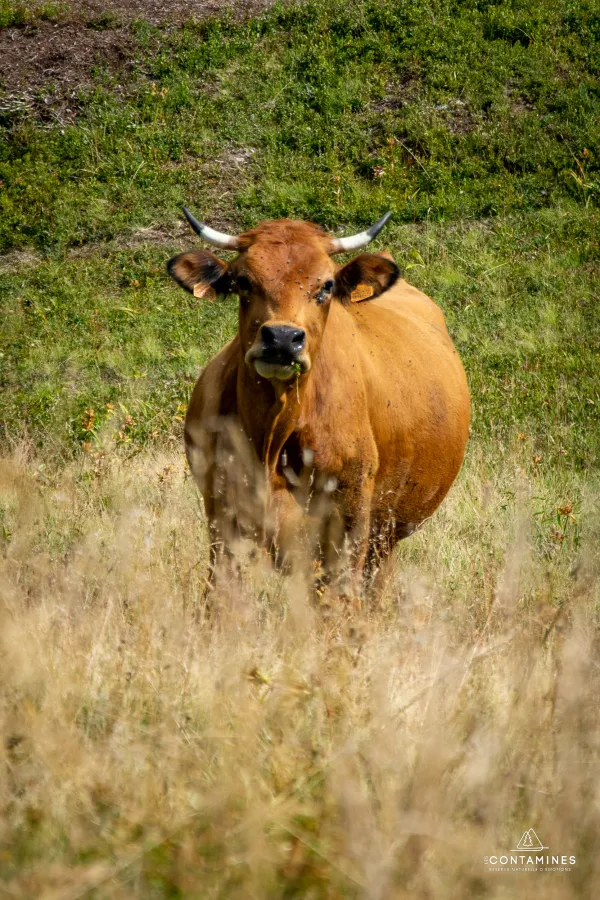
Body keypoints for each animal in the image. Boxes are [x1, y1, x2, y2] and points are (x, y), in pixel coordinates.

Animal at [167, 208, 470, 602]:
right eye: (242, 281)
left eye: (326, 286)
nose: (282, 338)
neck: (275, 436)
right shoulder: (224, 520)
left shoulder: (348, 526)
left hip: (385, 534)